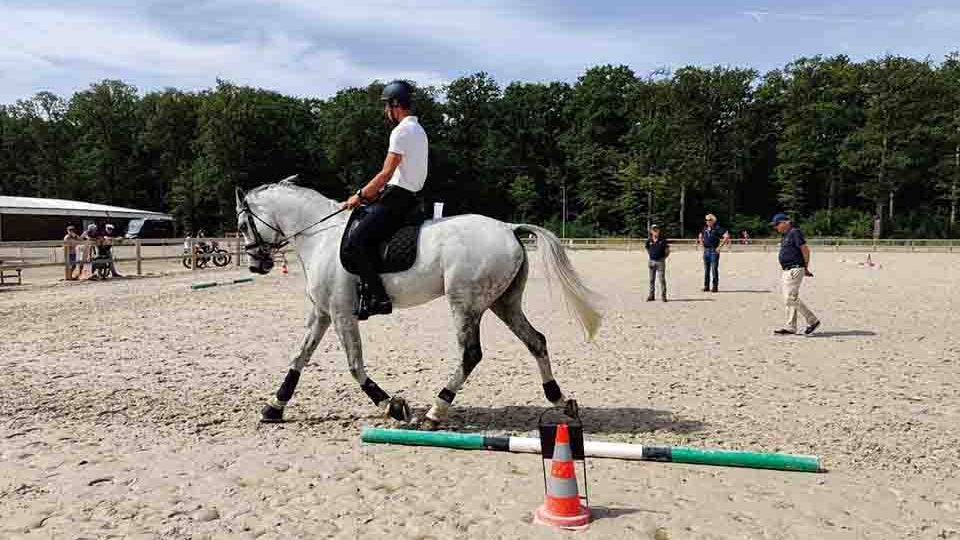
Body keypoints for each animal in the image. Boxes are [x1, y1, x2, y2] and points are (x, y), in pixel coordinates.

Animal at [236, 179, 601, 430]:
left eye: (242, 225)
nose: (257, 265)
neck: (320, 238)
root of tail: (509, 228)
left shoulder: (341, 314)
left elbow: (354, 365)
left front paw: (392, 406)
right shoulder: (322, 313)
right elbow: (300, 357)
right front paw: (274, 407)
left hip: (464, 303)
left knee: (471, 354)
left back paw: (435, 412)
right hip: (503, 303)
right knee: (536, 341)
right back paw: (560, 400)